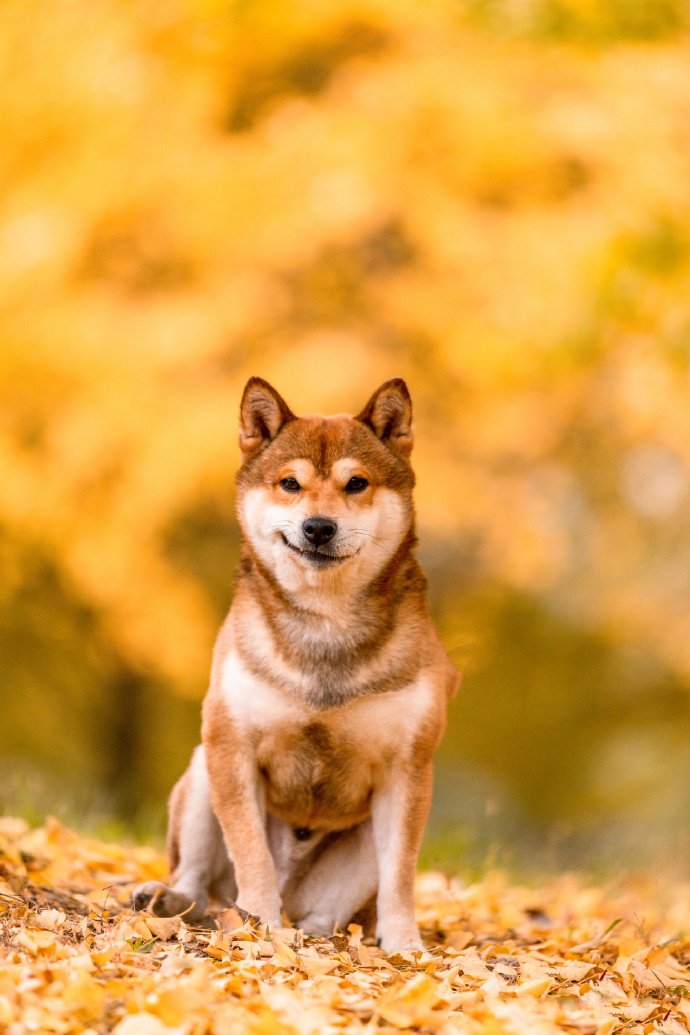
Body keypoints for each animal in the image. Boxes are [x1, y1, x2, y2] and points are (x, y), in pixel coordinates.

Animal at [133, 376, 459, 948]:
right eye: (289, 483)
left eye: (356, 484)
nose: (319, 527)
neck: (323, 624)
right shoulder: (231, 745)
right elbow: (252, 853)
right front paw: (258, 924)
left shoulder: (407, 771)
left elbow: (400, 875)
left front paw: (405, 944)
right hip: (201, 771)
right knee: (196, 878)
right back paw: (176, 901)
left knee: (328, 915)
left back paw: (320, 938)